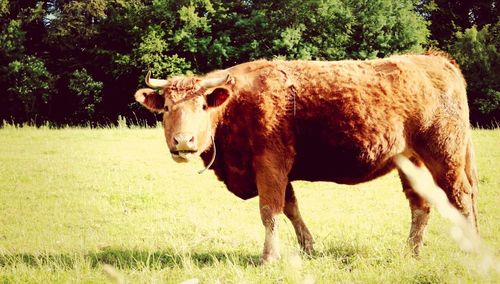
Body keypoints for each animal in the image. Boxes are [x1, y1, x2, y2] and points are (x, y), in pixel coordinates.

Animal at [135, 52, 478, 262]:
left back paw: (470, 249)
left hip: (444, 155)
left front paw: (269, 257)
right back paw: (411, 252)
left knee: (461, 197)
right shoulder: (276, 171)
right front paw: (309, 247)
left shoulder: (270, 163)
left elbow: (270, 210)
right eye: (167, 107)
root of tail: (436, 61)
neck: (237, 103)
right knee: (420, 205)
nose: (183, 141)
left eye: (203, 106)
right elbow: (291, 208)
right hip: (411, 162)